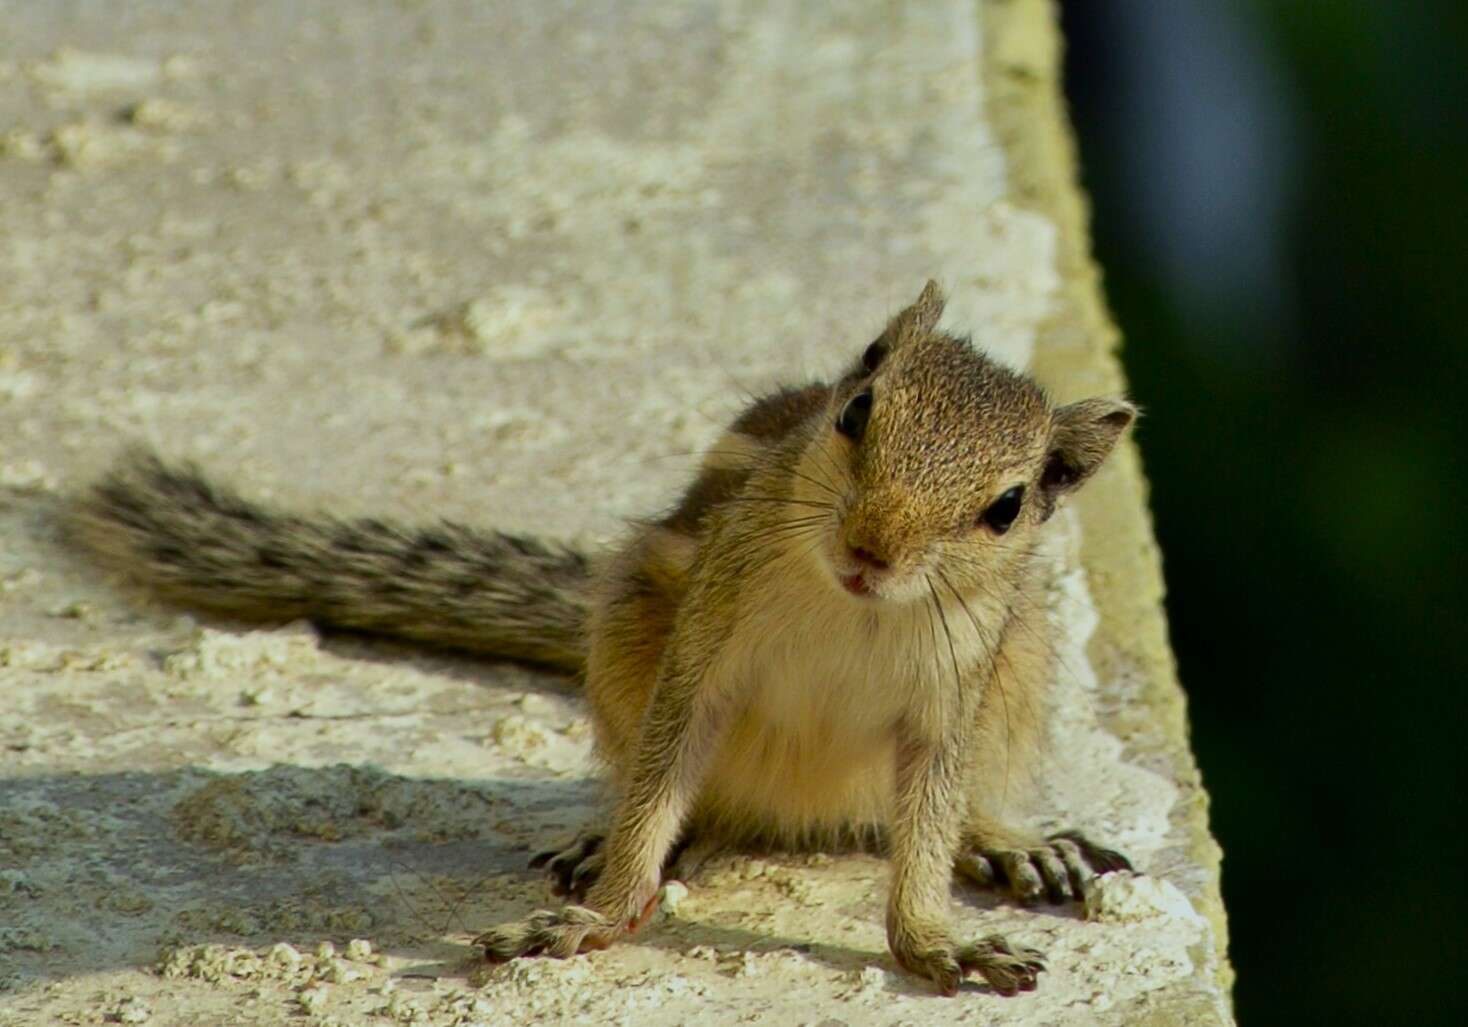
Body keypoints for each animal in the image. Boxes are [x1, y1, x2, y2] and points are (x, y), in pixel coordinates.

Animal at [74, 278, 1139, 997]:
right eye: (857, 411)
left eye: (1006, 507)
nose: (870, 548)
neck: (858, 608)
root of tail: (807, 811)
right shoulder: (703, 653)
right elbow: (662, 776)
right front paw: (599, 910)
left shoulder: (947, 706)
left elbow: (923, 831)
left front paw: (936, 940)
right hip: (630, 624)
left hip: (1019, 663)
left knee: (941, 808)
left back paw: (1013, 841)